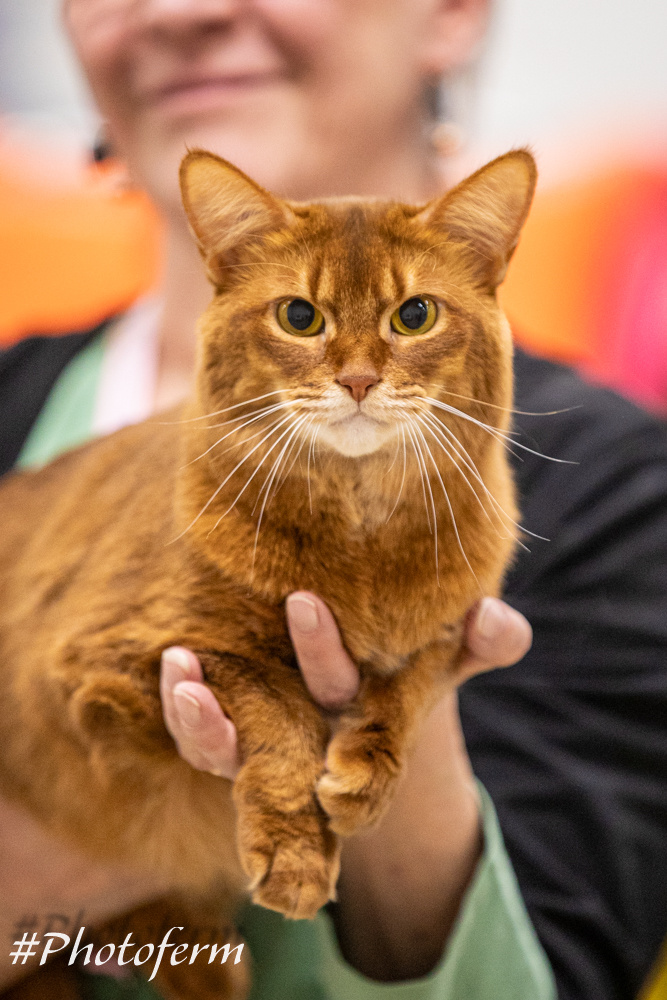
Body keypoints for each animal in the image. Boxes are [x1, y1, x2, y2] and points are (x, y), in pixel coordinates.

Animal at [0, 147, 536, 1000]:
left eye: (414, 315)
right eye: (299, 317)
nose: (358, 381)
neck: (358, 542)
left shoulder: (454, 621)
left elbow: (410, 682)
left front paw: (364, 775)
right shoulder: (103, 659)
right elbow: (275, 699)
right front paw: (294, 856)